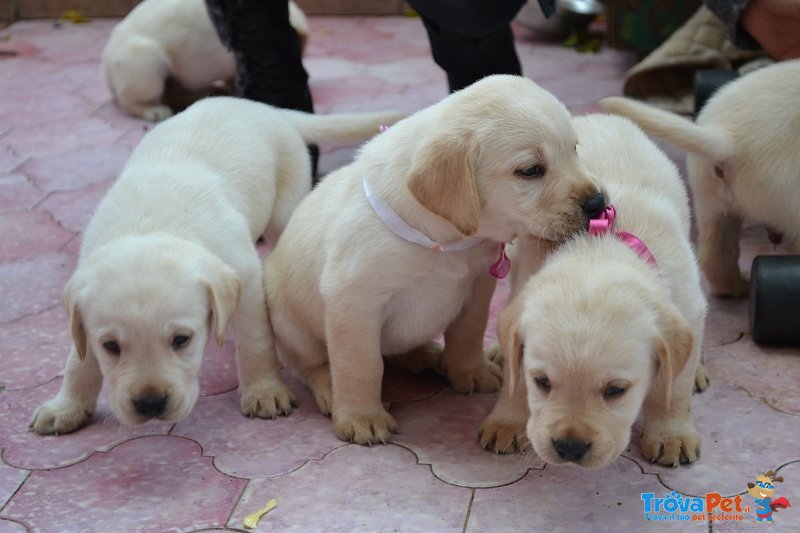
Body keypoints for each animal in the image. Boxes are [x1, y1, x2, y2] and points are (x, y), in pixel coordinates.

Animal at [29, 97, 406, 434]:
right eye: (110, 346)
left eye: (182, 340)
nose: (150, 404)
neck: (151, 225)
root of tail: (263, 108)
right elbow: (78, 361)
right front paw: (66, 407)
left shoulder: (248, 279)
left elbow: (256, 340)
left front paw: (264, 391)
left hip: (286, 203)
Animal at [100, 0, 310, 120]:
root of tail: (106, 70)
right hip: (145, 62)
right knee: (128, 98)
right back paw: (155, 111)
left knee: (173, 91)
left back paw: (209, 91)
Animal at [262, 75, 608, 444]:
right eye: (530, 170)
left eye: (574, 149)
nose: (598, 203)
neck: (446, 242)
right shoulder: (353, 300)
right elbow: (361, 365)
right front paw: (361, 417)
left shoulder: (477, 284)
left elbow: (468, 331)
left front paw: (469, 370)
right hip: (290, 326)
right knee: (312, 365)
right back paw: (329, 386)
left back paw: (427, 355)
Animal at [478, 114, 708, 468]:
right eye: (541, 382)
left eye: (615, 390)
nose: (570, 448)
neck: (600, 245)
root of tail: (598, 115)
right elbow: (515, 378)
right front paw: (507, 419)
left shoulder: (689, 306)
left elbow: (674, 390)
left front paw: (672, 434)